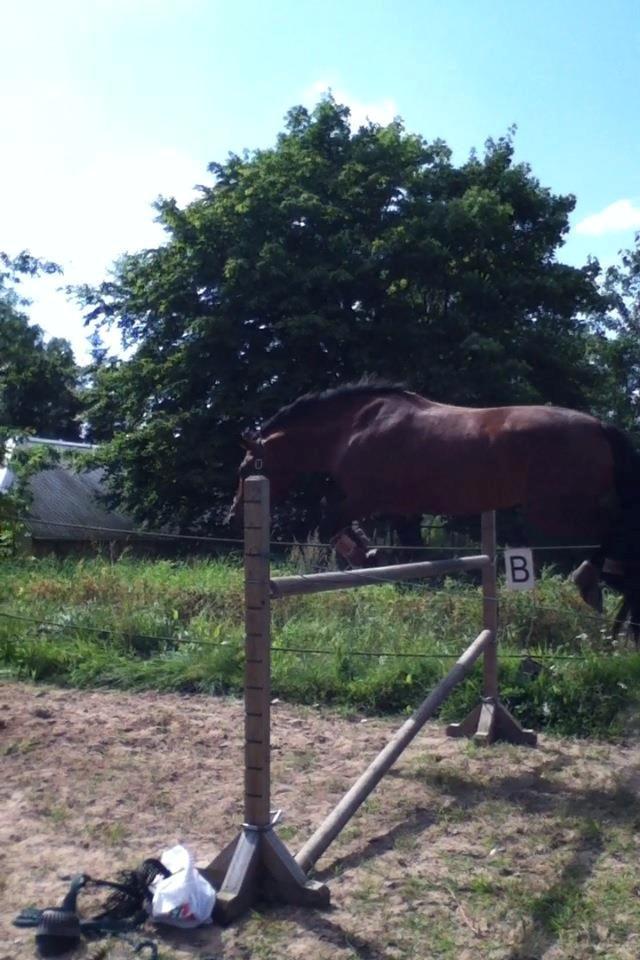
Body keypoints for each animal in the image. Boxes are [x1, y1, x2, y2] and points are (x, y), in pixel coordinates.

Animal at [228, 381, 640, 643]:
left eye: (246, 469)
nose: (233, 517)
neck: (354, 426)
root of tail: (600, 426)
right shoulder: (399, 510)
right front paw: (369, 551)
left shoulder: (365, 497)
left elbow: (328, 517)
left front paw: (362, 554)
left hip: (558, 512)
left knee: (615, 538)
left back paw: (592, 586)